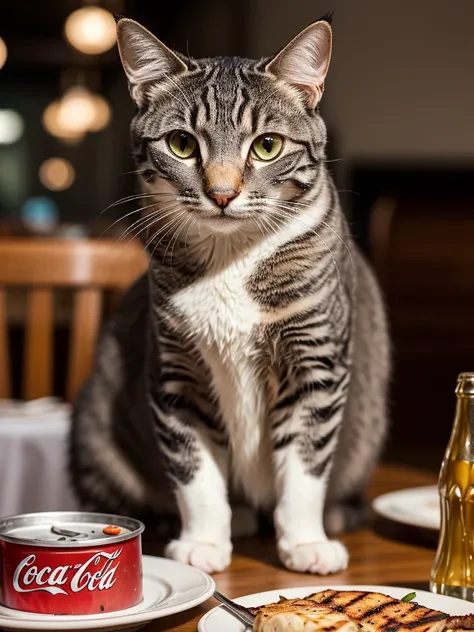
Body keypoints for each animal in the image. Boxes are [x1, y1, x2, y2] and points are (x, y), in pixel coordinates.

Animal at [69, 17, 388, 576]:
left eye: (267, 146)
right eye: (180, 143)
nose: (222, 193)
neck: (230, 258)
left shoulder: (316, 362)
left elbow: (305, 465)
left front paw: (306, 542)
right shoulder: (175, 371)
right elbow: (194, 471)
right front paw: (202, 542)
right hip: (94, 428)